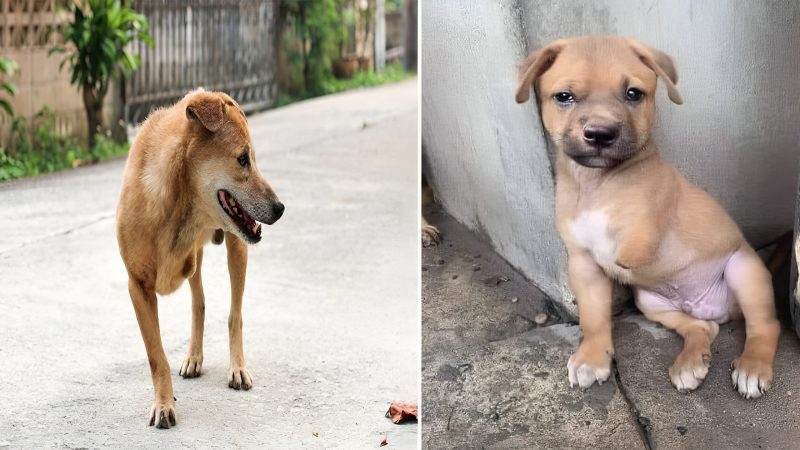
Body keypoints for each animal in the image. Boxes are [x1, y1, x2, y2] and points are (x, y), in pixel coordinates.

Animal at [115, 89, 284, 428]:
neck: (174, 204)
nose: (280, 208)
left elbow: (228, 314)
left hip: (237, 247)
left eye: (253, 158)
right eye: (242, 159)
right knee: (199, 302)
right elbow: (156, 355)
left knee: (234, 315)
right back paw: (194, 356)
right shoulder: (138, 286)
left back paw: (237, 366)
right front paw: (164, 403)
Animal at [516, 37, 780, 400]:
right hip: (652, 302)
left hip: (743, 272)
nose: (600, 134)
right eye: (564, 97)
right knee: (702, 327)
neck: (596, 183)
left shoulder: (645, 227)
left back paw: (751, 367)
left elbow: (632, 239)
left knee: (765, 327)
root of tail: (712, 308)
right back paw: (690, 363)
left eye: (633, 94)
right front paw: (592, 357)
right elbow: (592, 316)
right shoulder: (583, 263)